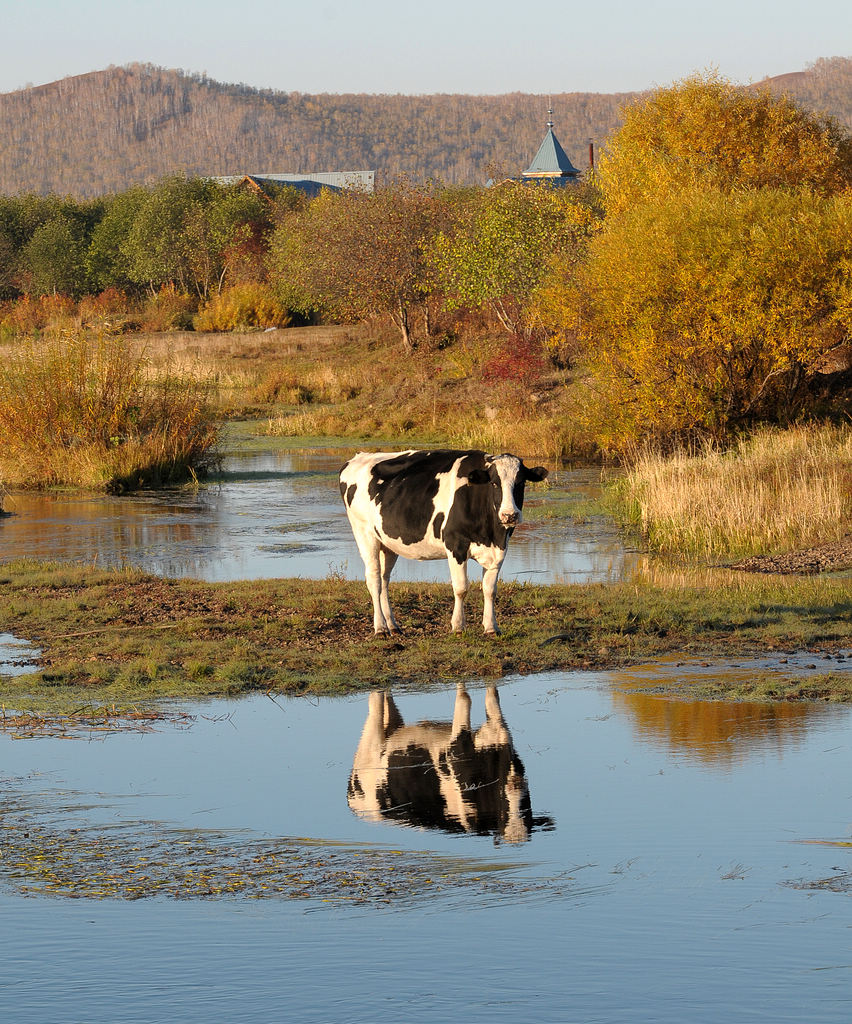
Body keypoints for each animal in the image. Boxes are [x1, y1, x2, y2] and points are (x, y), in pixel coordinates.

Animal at [335, 448, 548, 630]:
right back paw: (380, 628)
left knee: (384, 579)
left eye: (521, 483)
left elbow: (490, 589)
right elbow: (461, 588)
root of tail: (359, 456)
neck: (491, 533)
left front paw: (491, 627)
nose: (509, 515)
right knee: (374, 580)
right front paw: (458, 626)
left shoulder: (500, 549)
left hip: (387, 542)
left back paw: (393, 625)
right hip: (364, 533)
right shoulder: (455, 545)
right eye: (494, 482)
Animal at [346, 684, 552, 843]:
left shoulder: (499, 730)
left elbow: (492, 698)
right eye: (503, 810)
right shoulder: (457, 749)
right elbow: (465, 699)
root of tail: (356, 807)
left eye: (526, 806)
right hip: (369, 750)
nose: (514, 782)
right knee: (375, 703)